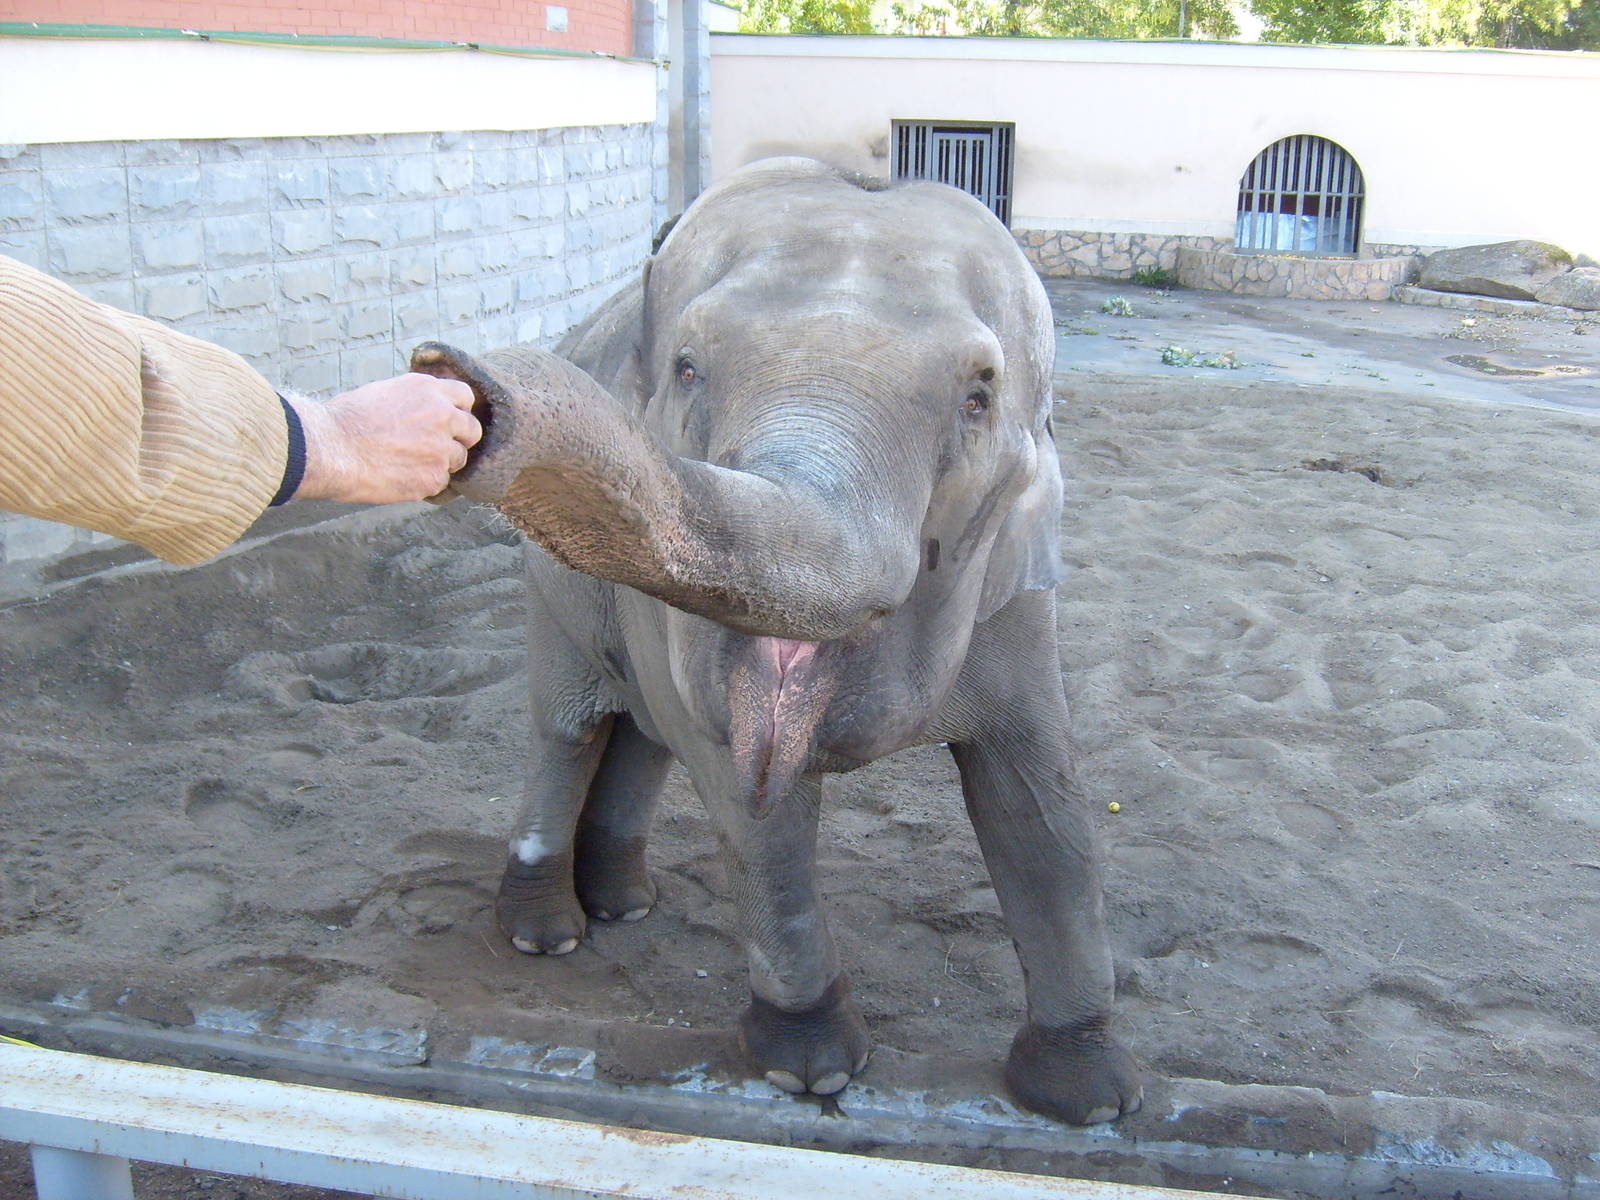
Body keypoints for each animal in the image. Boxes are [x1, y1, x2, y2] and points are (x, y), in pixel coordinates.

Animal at [412, 157, 1142, 1124]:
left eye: (979, 396)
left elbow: (1038, 801)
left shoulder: (1017, 602)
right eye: (687, 368)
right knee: (571, 730)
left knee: (642, 736)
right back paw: (549, 935)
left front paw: (1090, 1098)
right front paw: (814, 1069)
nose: (455, 382)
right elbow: (755, 808)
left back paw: (625, 905)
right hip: (552, 594)